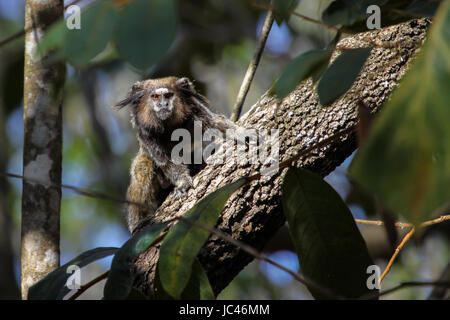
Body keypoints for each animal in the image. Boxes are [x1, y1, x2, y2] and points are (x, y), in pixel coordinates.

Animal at [114, 77, 244, 232]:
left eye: (168, 95)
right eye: (155, 97)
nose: (163, 104)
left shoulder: (196, 111)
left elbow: (217, 124)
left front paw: (240, 132)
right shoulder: (146, 134)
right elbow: (166, 162)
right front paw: (183, 183)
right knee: (142, 168)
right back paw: (138, 222)